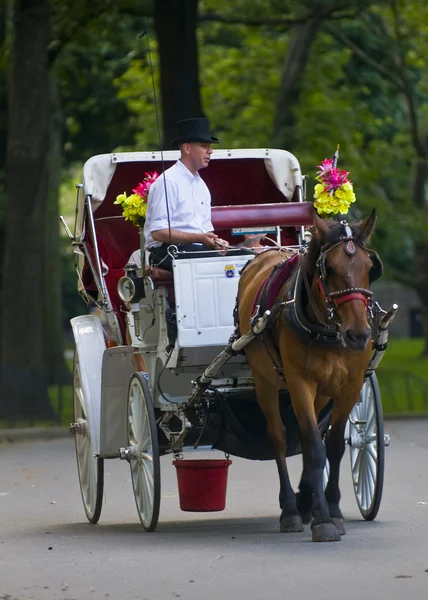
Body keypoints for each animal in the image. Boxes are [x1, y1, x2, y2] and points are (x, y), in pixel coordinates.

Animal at [237, 210, 382, 544]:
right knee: (279, 437)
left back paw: (307, 502)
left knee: (309, 434)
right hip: (265, 381)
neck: (326, 328)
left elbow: (333, 445)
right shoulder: (299, 383)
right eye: (329, 269)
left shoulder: (350, 385)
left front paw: (332, 510)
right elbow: (315, 447)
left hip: (323, 391)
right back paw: (291, 509)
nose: (358, 335)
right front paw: (323, 521)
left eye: (370, 268)